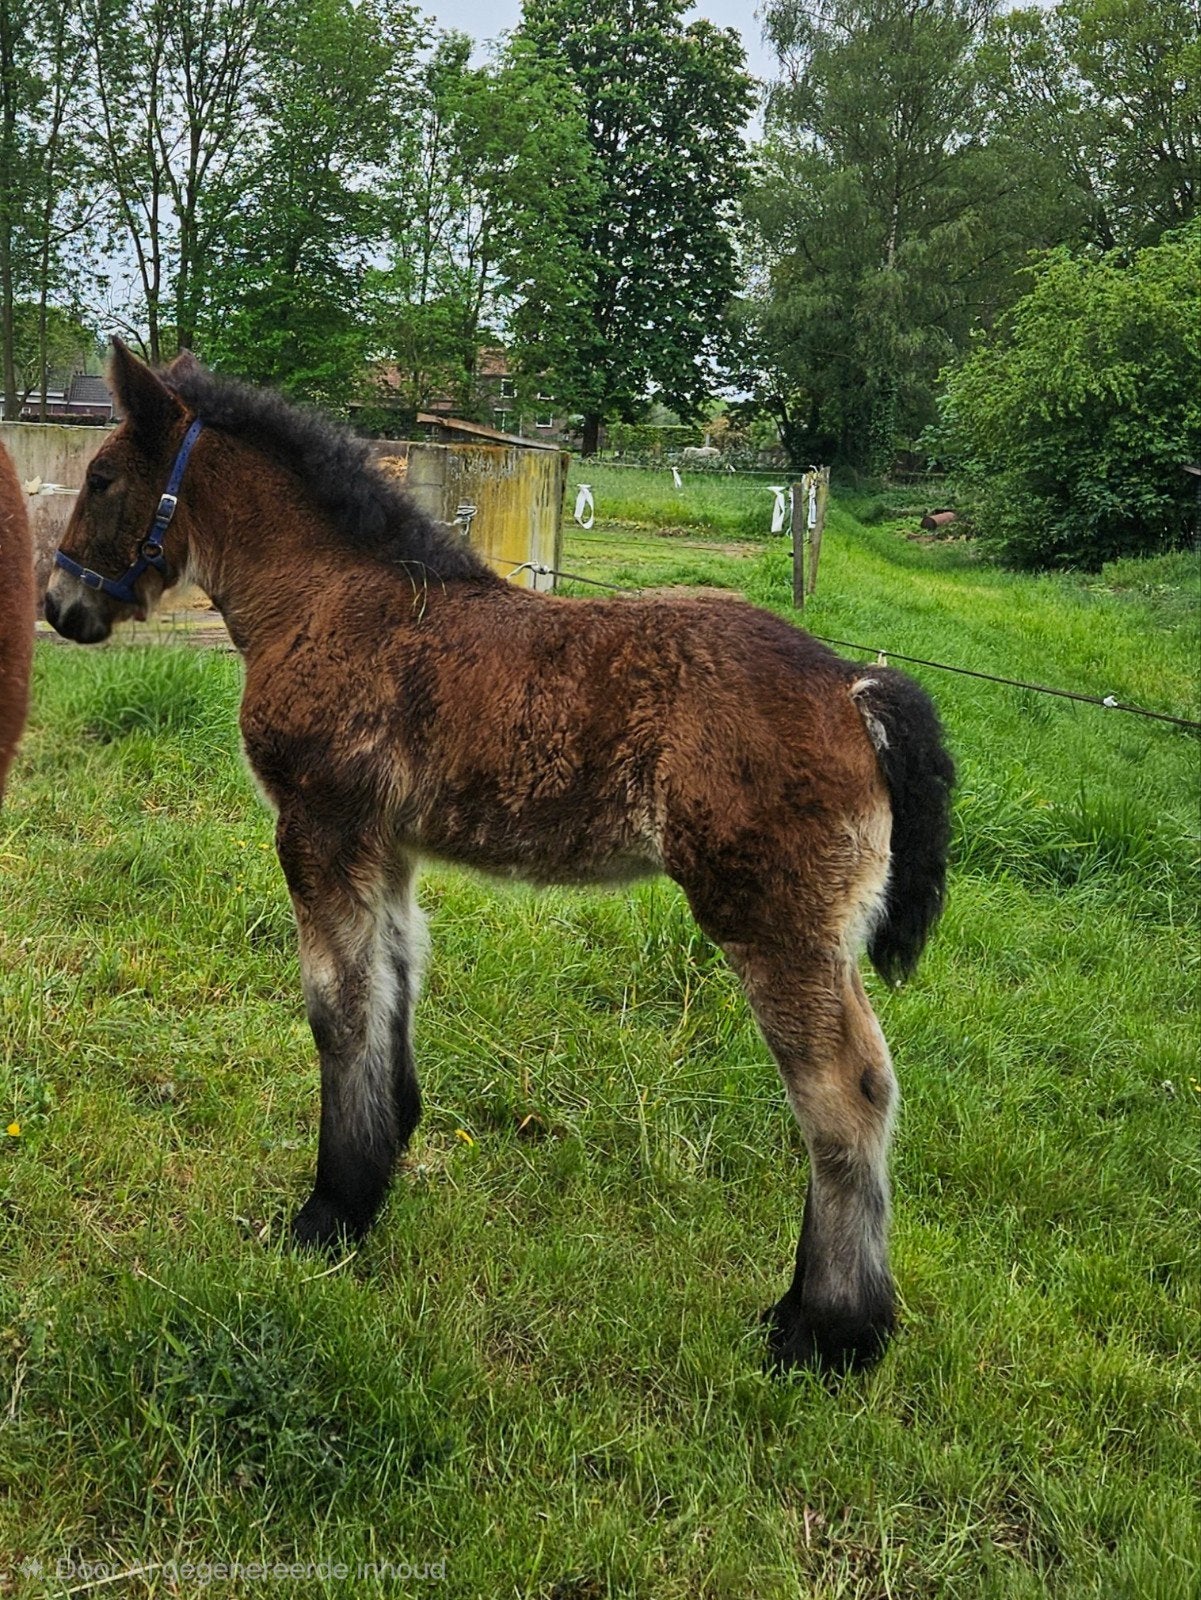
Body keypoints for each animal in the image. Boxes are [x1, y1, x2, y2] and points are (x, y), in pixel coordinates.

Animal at [45, 341, 954, 1374]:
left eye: (103, 478)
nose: (60, 605)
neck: (330, 598)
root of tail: (854, 686)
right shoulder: (384, 846)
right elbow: (392, 981)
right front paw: (383, 1160)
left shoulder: (316, 827)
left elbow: (334, 1010)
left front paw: (327, 1213)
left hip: (774, 921)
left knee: (845, 1095)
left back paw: (827, 1332)